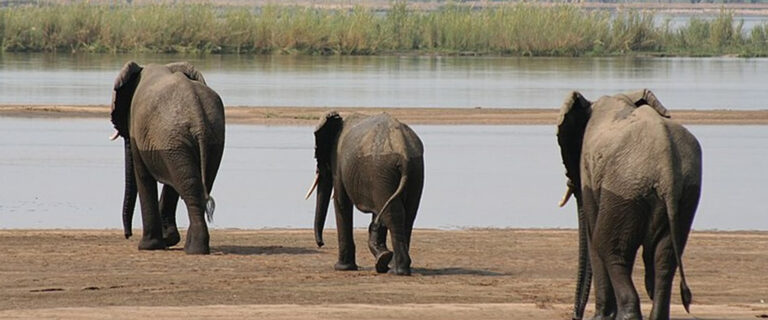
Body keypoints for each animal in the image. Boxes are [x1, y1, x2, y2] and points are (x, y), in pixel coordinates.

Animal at [110, 60, 225, 255]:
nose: (127, 235)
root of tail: (197, 114)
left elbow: (143, 176)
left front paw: (149, 246)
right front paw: (168, 240)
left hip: (174, 137)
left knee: (188, 186)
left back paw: (194, 249)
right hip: (206, 138)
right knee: (195, 184)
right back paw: (194, 248)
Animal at [306, 110, 426, 276]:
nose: (321, 244)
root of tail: (403, 150)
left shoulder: (339, 163)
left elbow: (341, 202)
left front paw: (342, 268)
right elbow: (377, 214)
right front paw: (382, 258)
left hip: (383, 171)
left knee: (393, 215)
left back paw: (397, 270)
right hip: (413, 170)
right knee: (407, 215)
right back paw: (396, 267)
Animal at [560, 89, 704, 320]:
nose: (575, 316)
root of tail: (666, 163)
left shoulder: (588, 166)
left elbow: (592, 235)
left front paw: (600, 318)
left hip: (624, 188)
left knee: (607, 245)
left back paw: (626, 316)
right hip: (686, 194)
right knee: (665, 256)